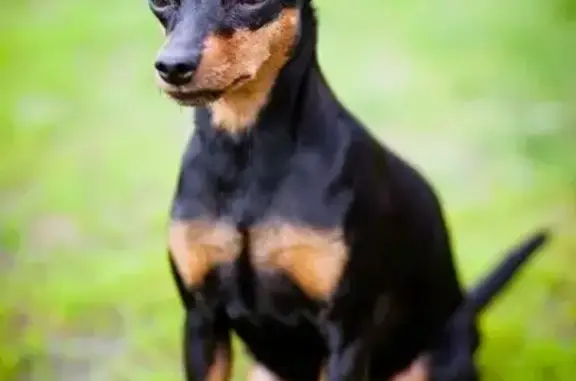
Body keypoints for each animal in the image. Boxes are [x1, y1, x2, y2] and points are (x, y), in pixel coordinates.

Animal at [147, 0, 548, 378]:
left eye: (251, 1)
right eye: (160, 2)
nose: (173, 66)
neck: (246, 150)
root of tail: (465, 313)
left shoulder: (347, 332)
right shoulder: (201, 320)